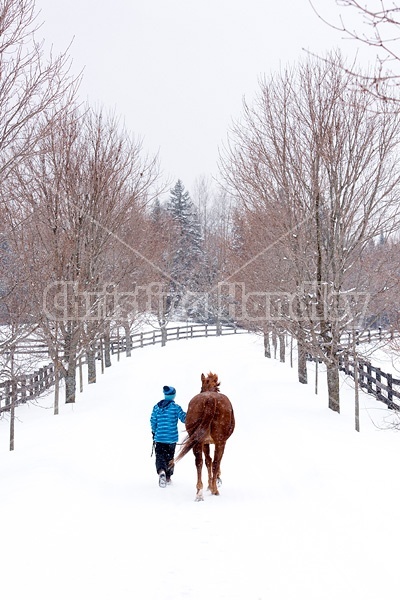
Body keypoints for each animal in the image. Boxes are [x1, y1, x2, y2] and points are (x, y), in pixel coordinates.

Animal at [174, 372, 234, 500]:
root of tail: (210, 398)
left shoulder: (204, 442)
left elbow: (207, 461)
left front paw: (209, 485)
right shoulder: (215, 442)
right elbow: (213, 462)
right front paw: (213, 484)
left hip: (197, 441)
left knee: (199, 462)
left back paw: (199, 492)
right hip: (220, 442)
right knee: (216, 462)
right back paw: (215, 490)